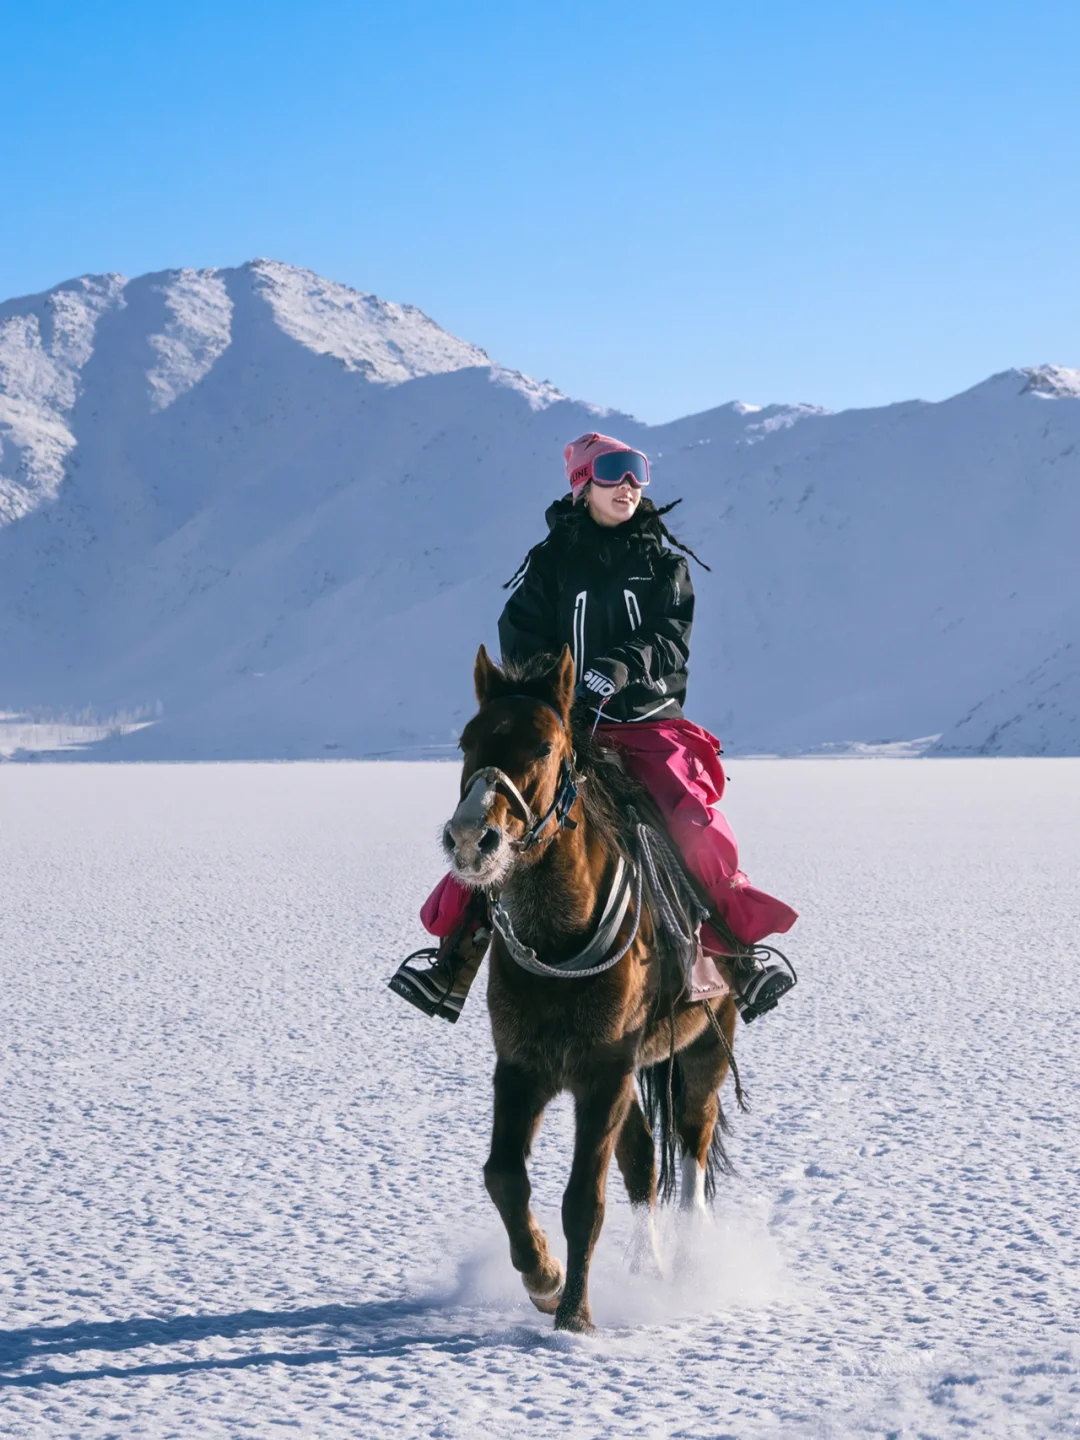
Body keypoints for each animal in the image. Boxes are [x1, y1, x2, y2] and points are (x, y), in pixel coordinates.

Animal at [443, 648, 743, 1330]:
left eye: (544, 745)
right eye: (468, 741)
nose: (473, 839)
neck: (558, 938)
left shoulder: (604, 1070)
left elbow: (585, 1197)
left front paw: (573, 1318)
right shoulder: (523, 1065)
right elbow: (503, 1175)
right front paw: (544, 1278)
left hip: (705, 1049)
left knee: (691, 1150)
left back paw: (689, 1266)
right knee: (643, 1162)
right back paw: (646, 1268)